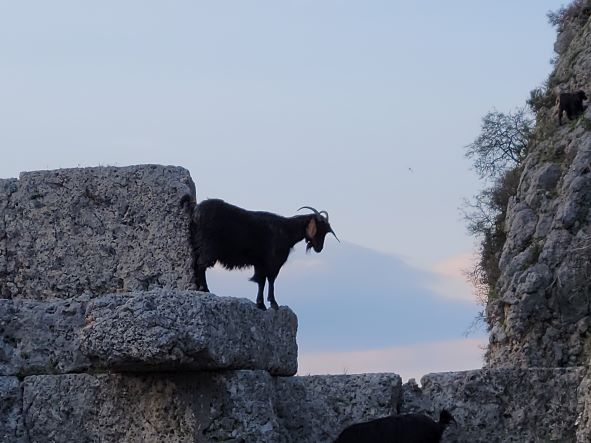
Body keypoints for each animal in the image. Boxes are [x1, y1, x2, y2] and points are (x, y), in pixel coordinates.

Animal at [190, 199, 338, 310]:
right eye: (320, 229)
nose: (319, 248)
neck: (286, 230)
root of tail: (197, 212)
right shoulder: (273, 262)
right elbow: (270, 280)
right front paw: (271, 303)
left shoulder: (260, 263)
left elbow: (261, 281)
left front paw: (261, 304)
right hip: (209, 247)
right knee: (201, 264)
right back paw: (204, 289)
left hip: (199, 244)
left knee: (196, 263)